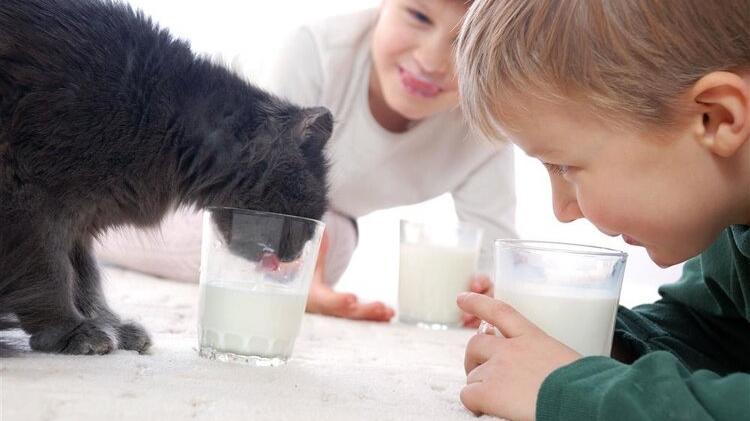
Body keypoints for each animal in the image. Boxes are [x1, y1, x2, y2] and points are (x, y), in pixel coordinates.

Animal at [0, 0, 332, 354]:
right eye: (313, 211)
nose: (297, 255)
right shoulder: (29, 198)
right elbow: (51, 272)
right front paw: (72, 330)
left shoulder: (80, 222)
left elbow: (87, 279)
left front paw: (110, 325)